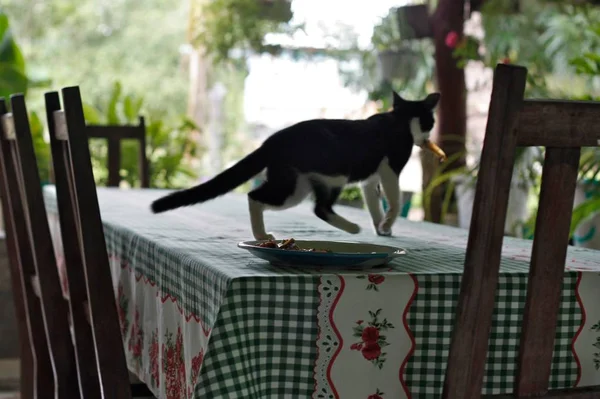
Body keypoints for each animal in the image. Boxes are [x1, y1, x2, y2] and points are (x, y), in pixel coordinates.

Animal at [150, 91, 440, 241]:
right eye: (431, 122)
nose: (429, 138)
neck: (400, 119)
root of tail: (271, 141)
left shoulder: (369, 179)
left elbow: (373, 202)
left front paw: (382, 228)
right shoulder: (391, 168)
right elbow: (394, 199)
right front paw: (388, 222)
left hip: (296, 183)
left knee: (269, 198)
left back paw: (263, 235)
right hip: (328, 176)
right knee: (310, 206)